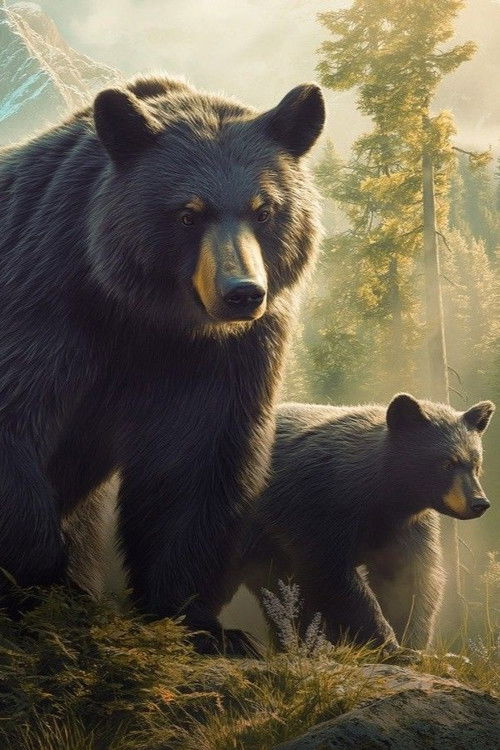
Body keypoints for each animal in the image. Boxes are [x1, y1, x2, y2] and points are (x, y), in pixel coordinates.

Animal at [0, 75, 325, 653]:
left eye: (264, 209)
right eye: (188, 213)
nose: (242, 293)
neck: (140, 312)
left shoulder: (216, 355)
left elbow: (195, 463)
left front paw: (202, 622)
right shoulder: (43, 298)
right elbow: (16, 417)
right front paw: (44, 579)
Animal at [233, 394, 494, 651]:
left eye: (475, 465)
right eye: (447, 463)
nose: (479, 503)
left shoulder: (408, 526)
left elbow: (411, 578)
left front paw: (412, 644)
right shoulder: (320, 508)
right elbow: (331, 574)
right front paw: (388, 644)